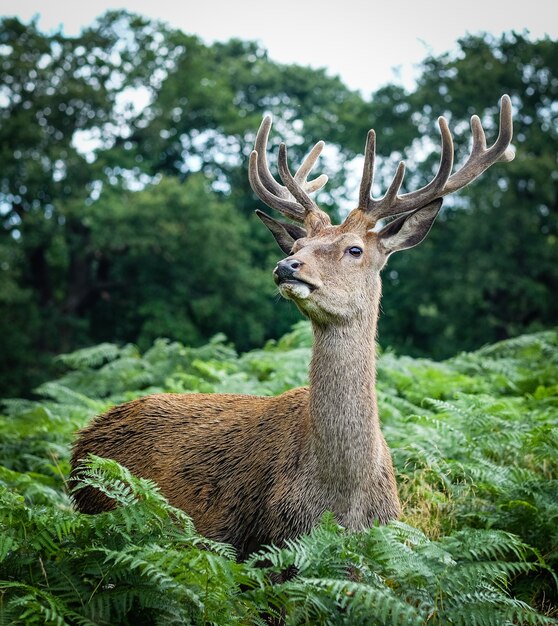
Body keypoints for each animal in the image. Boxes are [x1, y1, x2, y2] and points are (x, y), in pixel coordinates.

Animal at [71, 96, 516, 556]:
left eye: (354, 249)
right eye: (299, 244)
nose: (287, 265)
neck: (342, 503)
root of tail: (80, 445)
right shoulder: (267, 545)